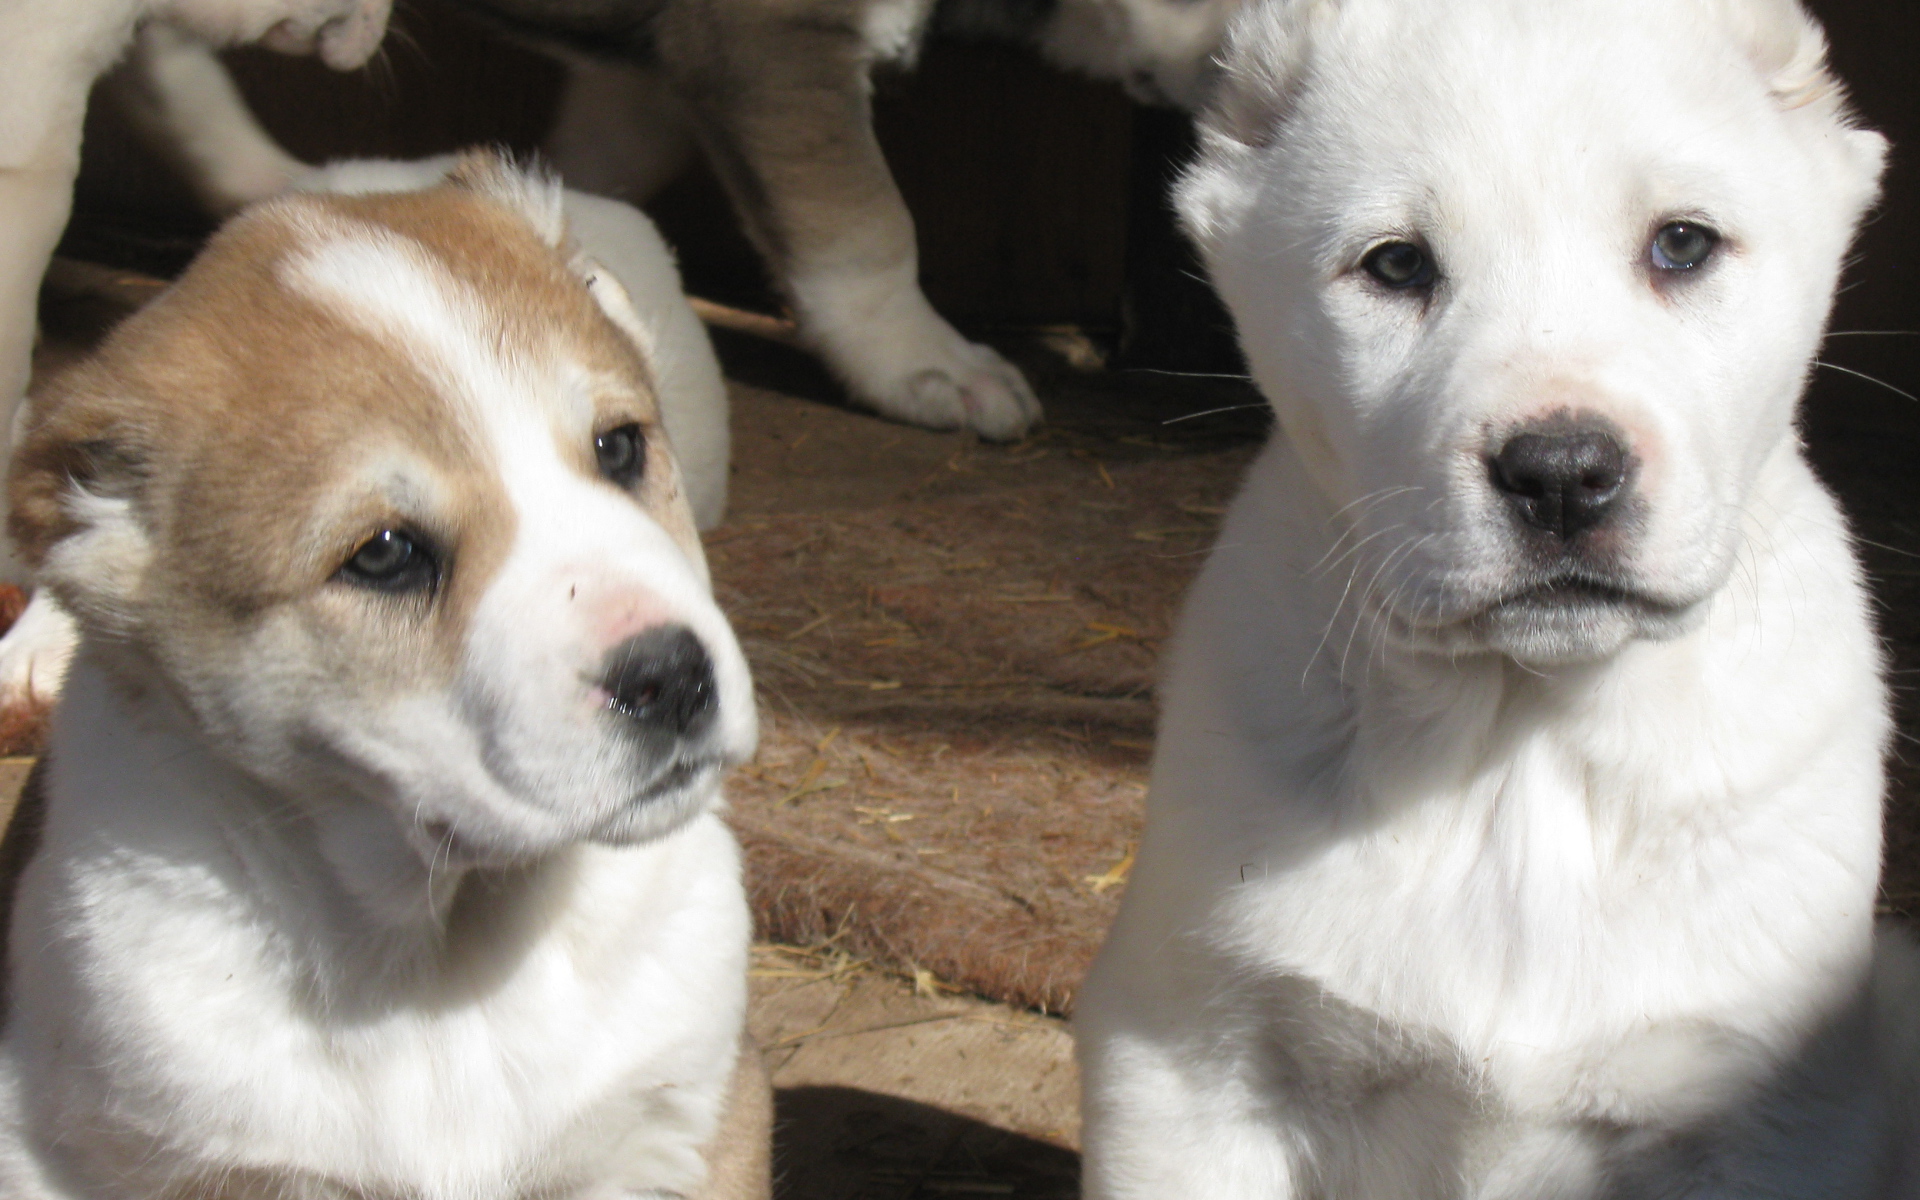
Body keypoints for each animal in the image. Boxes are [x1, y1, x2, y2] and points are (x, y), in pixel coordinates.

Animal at [1075, 0, 1920, 1194]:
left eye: (1683, 245)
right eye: (1396, 265)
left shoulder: (1788, 1116)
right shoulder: (1183, 1061)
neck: (1523, 744)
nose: (1562, 474)